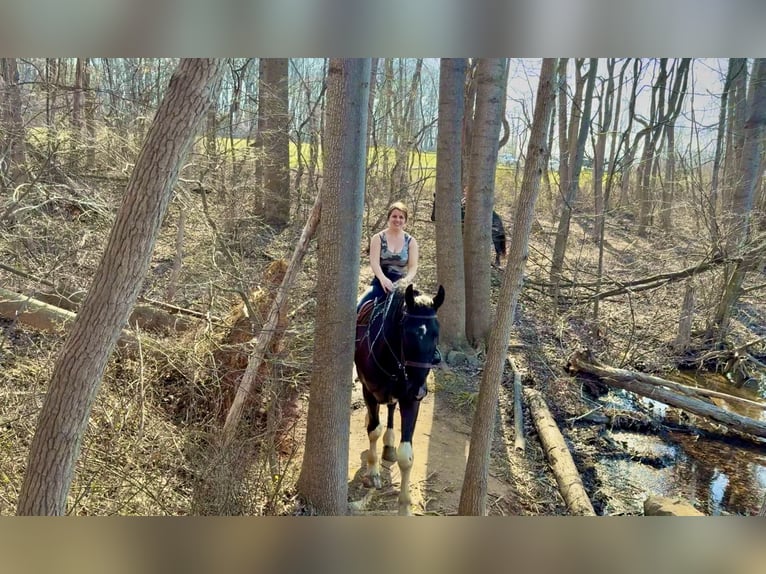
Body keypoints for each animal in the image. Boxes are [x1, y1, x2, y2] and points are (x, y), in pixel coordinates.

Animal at [354, 283, 445, 515]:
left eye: (436, 334)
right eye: (407, 334)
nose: (419, 389)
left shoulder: (410, 400)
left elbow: (406, 456)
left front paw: (404, 507)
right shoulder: (368, 391)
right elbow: (373, 430)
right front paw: (373, 472)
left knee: (391, 407)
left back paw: (389, 444)